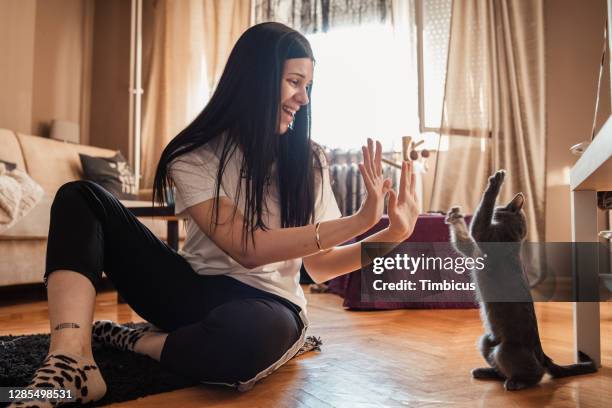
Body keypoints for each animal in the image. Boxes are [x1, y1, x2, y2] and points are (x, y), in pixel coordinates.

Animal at [444, 168, 596, 388]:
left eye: (500, 206)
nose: (500, 205)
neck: (514, 237)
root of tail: (542, 354)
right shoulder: (472, 249)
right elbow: (463, 237)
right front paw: (455, 215)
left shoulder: (482, 234)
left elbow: (483, 211)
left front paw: (496, 181)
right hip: (486, 340)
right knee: (500, 368)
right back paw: (486, 372)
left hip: (505, 350)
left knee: (537, 373)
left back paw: (517, 383)